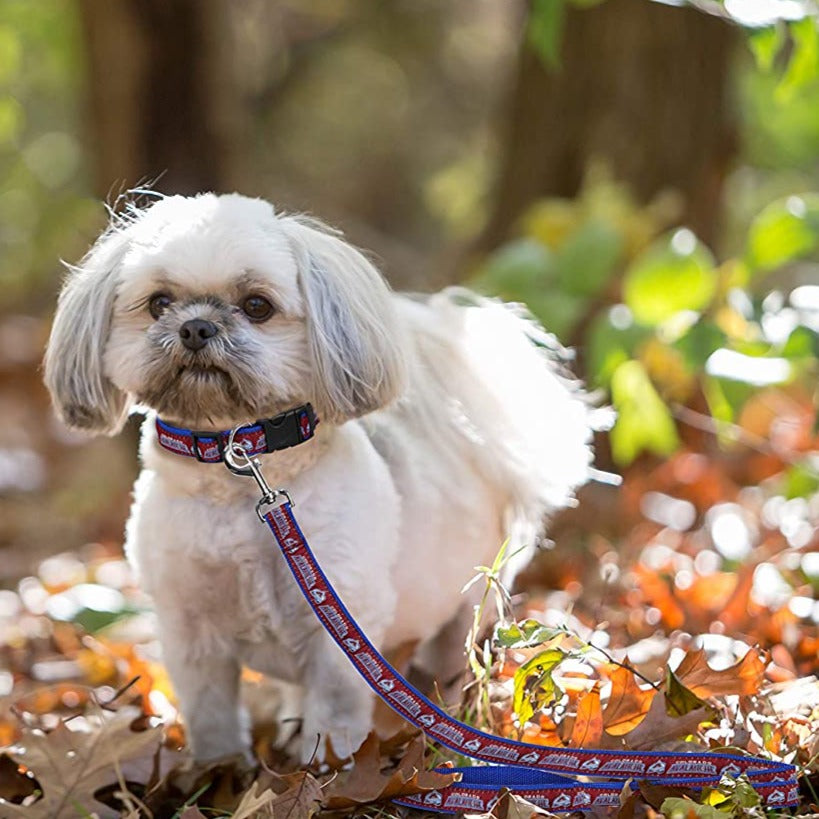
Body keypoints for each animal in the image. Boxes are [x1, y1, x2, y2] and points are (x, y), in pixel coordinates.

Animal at [44, 194, 592, 768]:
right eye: (159, 303)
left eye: (257, 305)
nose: (196, 327)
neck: (238, 468)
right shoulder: (190, 632)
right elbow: (212, 715)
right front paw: (219, 772)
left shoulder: (339, 628)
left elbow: (335, 711)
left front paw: (328, 768)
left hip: (466, 602)